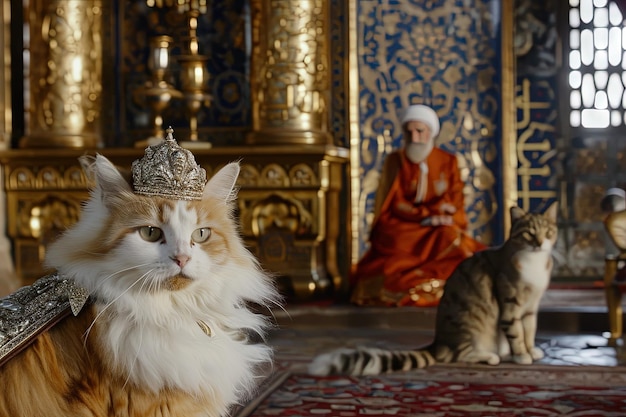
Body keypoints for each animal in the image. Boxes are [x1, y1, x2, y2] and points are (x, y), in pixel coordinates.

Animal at [310, 203, 560, 376]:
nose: (539, 243)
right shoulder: (510, 304)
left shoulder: (530, 308)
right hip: (471, 324)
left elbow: (530, 331)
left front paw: (532, 350)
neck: (536, 264)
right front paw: (522, 355)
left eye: (547, 232)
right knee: (458, 355)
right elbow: (517, 333)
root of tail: (439, 342)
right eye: (529, 233)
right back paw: (490, 356)